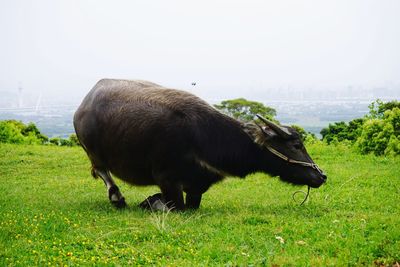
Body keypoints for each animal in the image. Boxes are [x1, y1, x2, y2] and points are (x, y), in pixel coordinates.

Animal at [73, 79, 326, 211]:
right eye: (296, 145)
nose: (322, 176)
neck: (202, 137)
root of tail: (83, 104)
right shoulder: (166, 179)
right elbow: (171, 205)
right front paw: (148, 202)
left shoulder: (198, 185)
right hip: (93, 152)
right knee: (103, 172)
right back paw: (117, 198)